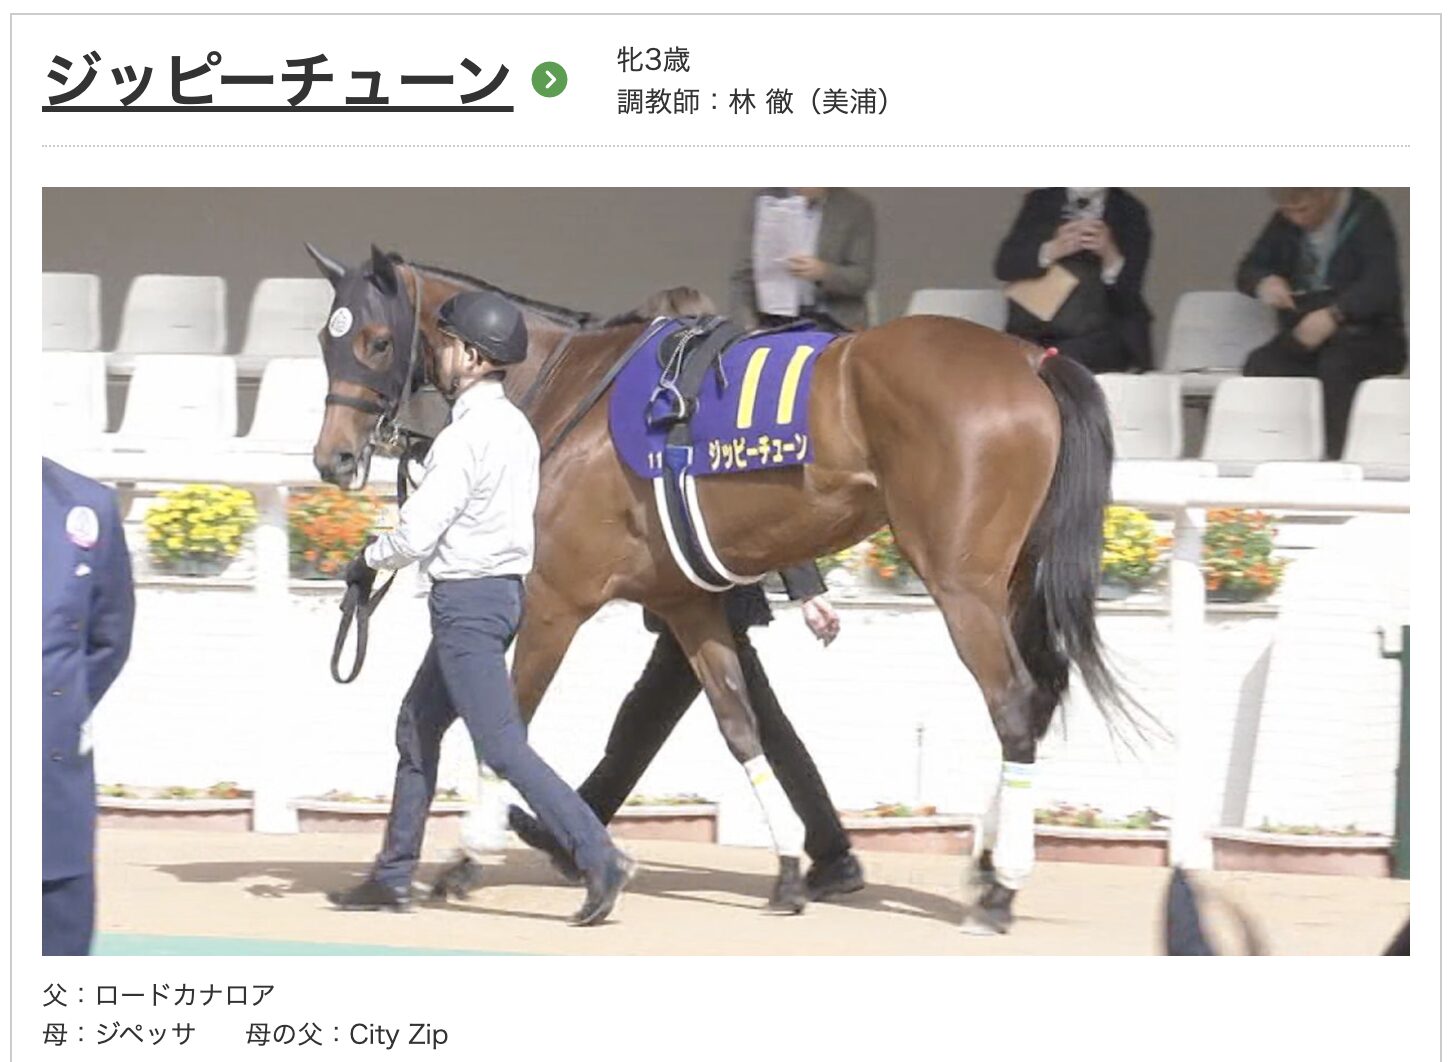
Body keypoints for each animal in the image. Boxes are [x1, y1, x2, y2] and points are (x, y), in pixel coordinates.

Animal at [304, 243, 1145, 932]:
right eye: (325, 339)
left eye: (376, 340)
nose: (333, 459)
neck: (567, 388)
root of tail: (1031, 361)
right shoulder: (687, 602)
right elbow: (740, 723)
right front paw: (786, 875)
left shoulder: (554, 601)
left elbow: (508, 726)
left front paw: (466, 861)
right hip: (1013, 580)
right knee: (1038, 695)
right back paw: (977, 868)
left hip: (962, 583)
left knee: (1013, 705)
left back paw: (1000, 887)